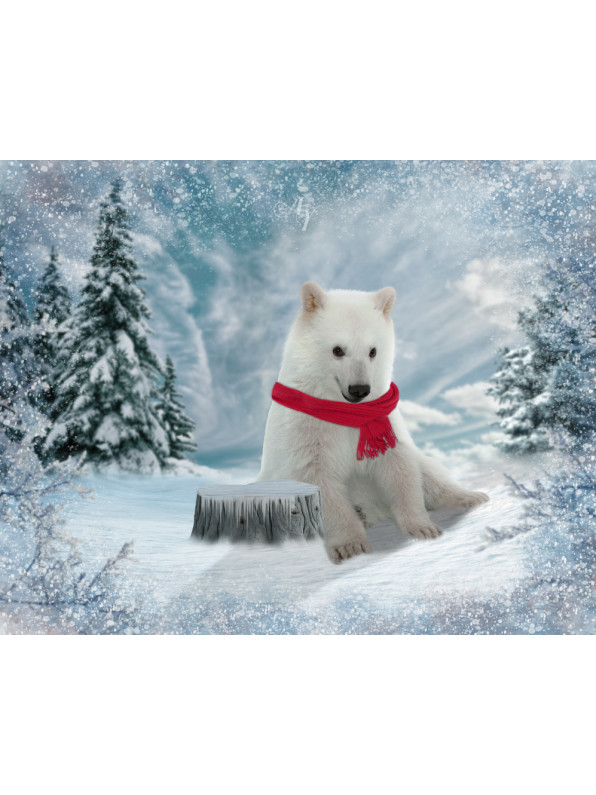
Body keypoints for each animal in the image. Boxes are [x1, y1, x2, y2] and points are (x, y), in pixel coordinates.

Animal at [256, 281, 489, 564]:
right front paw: (351, 546)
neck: (342, 409)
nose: (359, 389)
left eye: (373, 351)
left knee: (428, 471)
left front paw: (423, 528)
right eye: (337, 350)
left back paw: (471, 497)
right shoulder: (305, 430)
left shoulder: (383, 420)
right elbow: (318, 480)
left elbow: (399, 467)